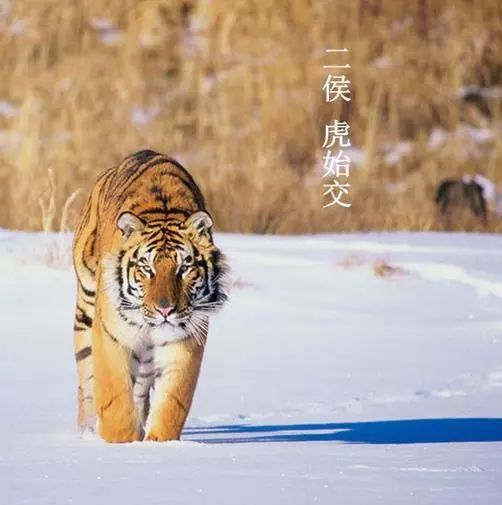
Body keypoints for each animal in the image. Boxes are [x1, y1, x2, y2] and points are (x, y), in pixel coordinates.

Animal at [72, 149, 229, 440]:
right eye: (147, 268)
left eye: (184, 268)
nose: (165, 310)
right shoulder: (112, 335)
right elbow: (114, 398)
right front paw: (122, 441)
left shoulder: (184, 339)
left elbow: (173, 402)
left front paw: (156, 443)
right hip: (86, 306)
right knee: (86, 383)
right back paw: (86, 432)